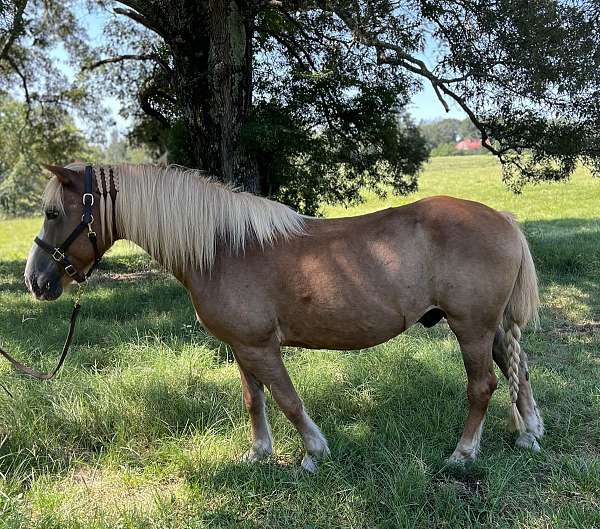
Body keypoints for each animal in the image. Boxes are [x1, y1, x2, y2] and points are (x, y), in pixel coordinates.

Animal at [24, 162, 544, 470]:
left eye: (52, 212)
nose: (35, 280)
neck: (223, 248)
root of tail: (503, 219)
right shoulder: (241, 347)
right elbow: (255, 401)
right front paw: (259, 453)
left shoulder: (260, 345)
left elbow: (288, 400)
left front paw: (313, 453)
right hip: (488, 326)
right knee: (515, 369)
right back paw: (529, 433)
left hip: (470, 327)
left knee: (484, 385)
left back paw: (463, 454)